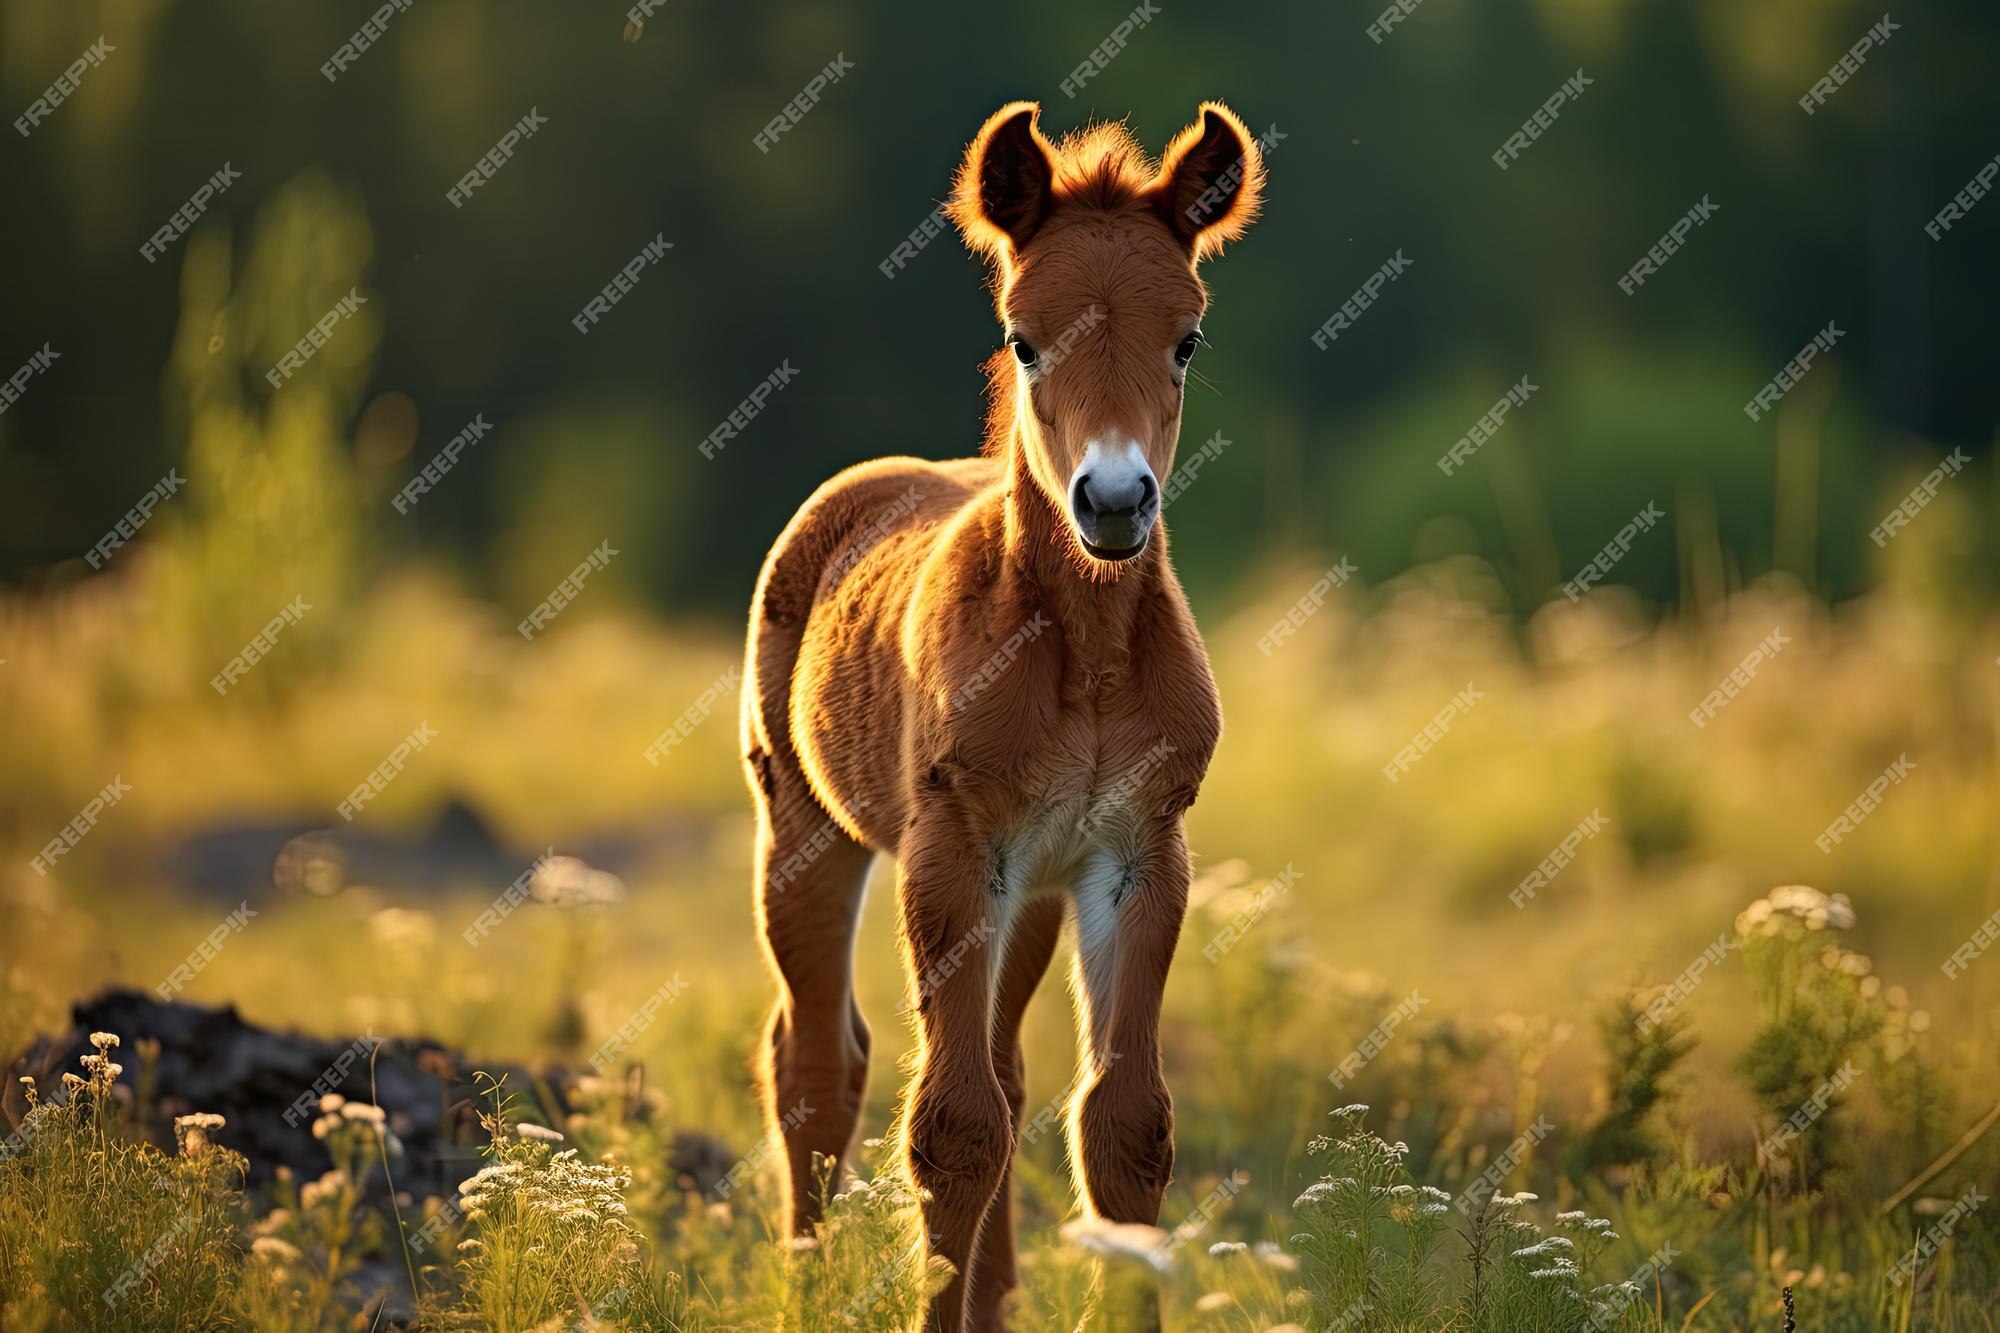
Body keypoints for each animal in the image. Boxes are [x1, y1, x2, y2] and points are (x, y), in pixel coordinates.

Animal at [736, 98, 1264, 1320]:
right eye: (1024, 337)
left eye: (1189, 338)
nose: (1112, 500)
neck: (1086, 659)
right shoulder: (950, 844)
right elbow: (951, 1127)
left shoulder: (1136, 851)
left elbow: (1122, 1125)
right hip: (807, 830)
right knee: (816, 1065)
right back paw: (804, 1288)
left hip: (1031, 893)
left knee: (1012, 1074)